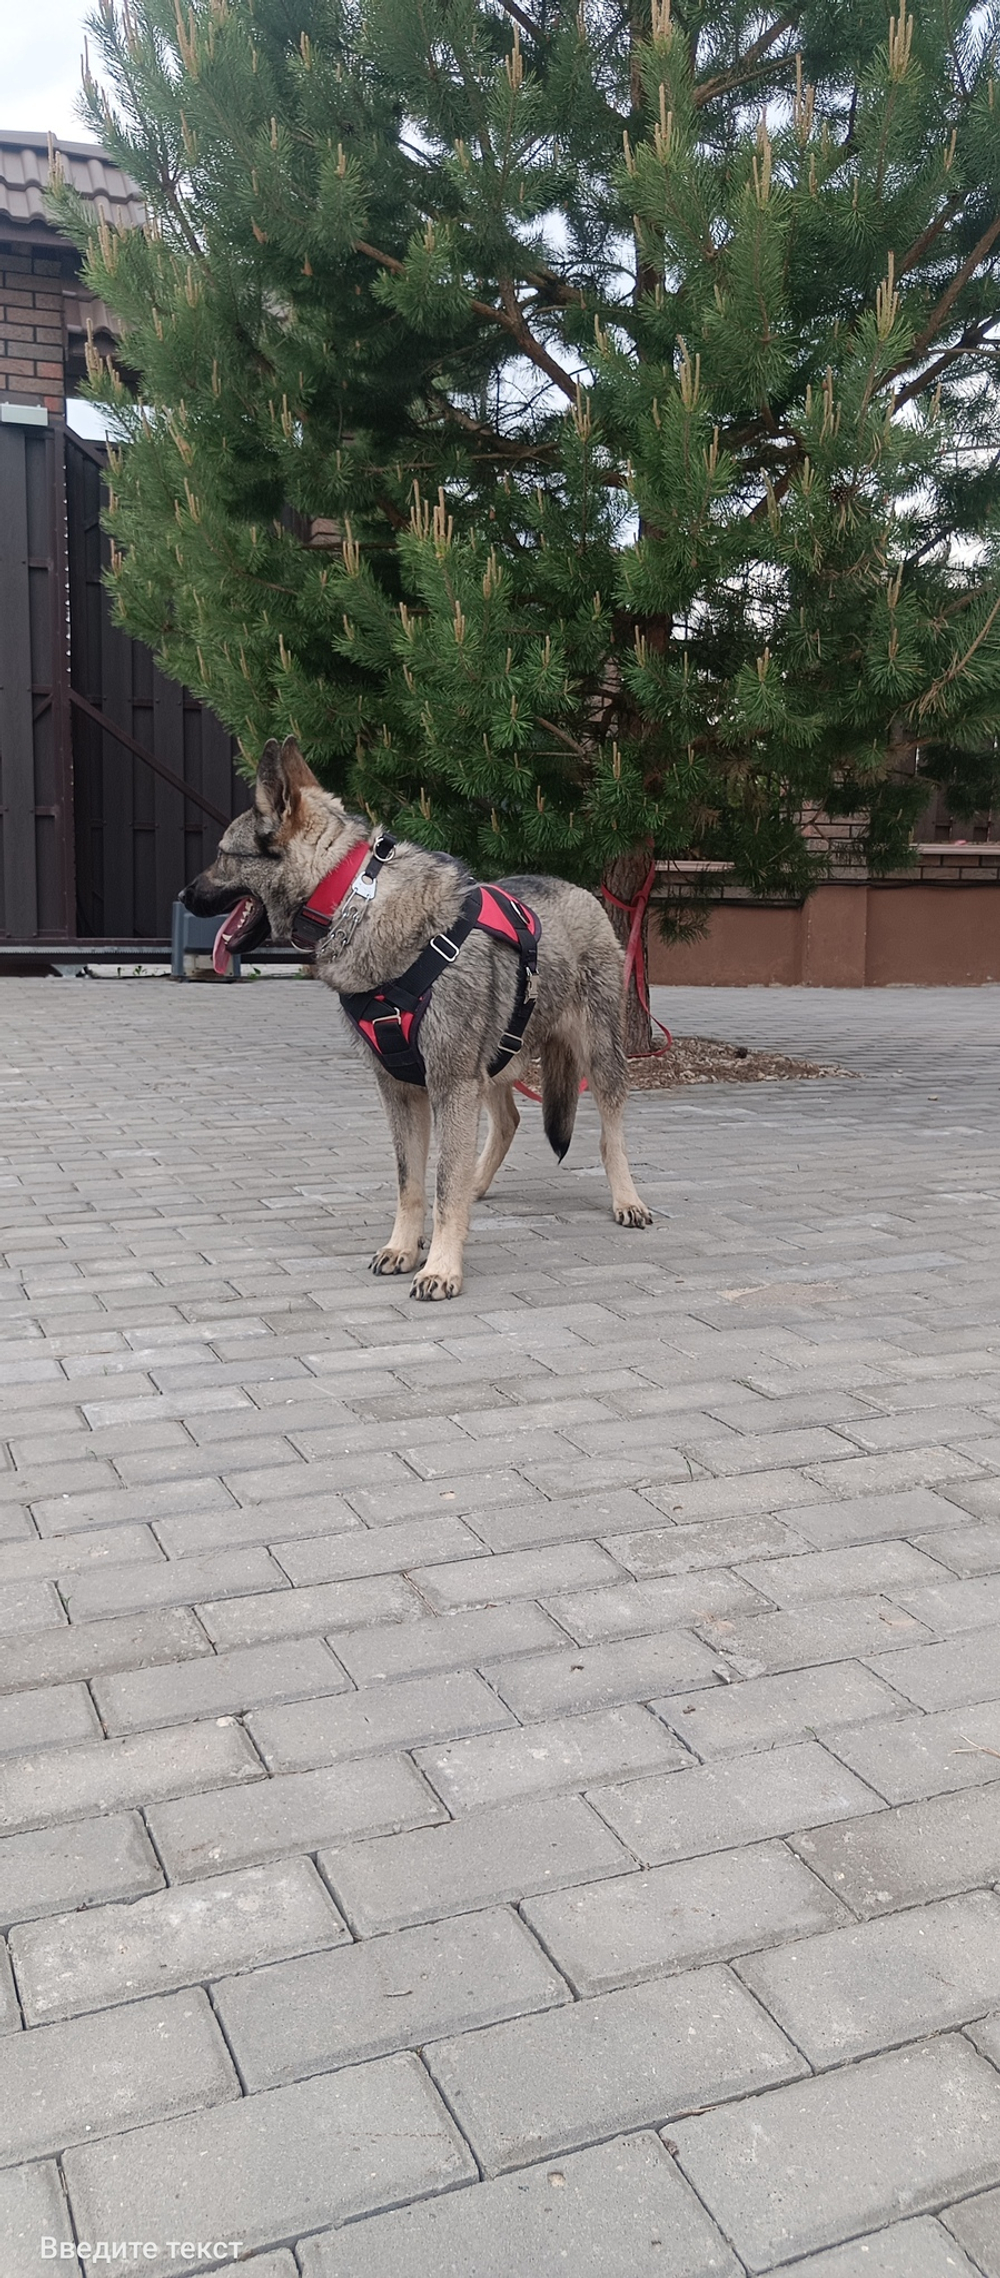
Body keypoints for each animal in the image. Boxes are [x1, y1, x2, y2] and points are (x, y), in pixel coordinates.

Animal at [183, 733, 656, 1303]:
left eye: (221, 857)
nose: (182, 895)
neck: (353, 899)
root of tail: (581, 890)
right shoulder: (403, 1090)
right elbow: (412, 1184)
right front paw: (404, 1248)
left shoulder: (450, 1084)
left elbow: (443, 1186)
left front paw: (442, 1268)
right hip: (496, 1063)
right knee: (508, 1121)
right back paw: (480, 1183)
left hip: (598, 1059)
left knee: (610, 1135)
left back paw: (626, 1199)